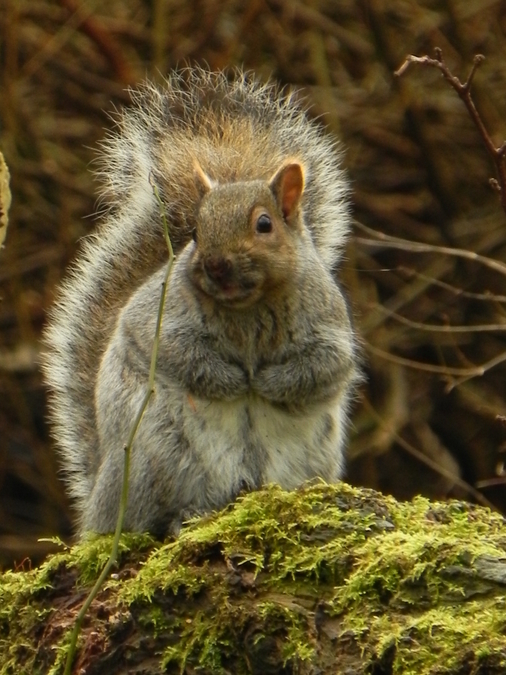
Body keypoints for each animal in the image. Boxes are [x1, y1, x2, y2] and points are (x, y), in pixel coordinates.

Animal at [42, 70, 360, 540]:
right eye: (196, 230)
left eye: (264, 224)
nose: (215, 264)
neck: (248, 309)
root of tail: (98, 500)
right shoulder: (158, 318)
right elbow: (176, 352)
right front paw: (234, 381)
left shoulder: (328, 325)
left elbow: (324, 367)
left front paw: (265, 384)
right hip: (153, 457)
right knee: (147, 517)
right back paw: (179, 517)